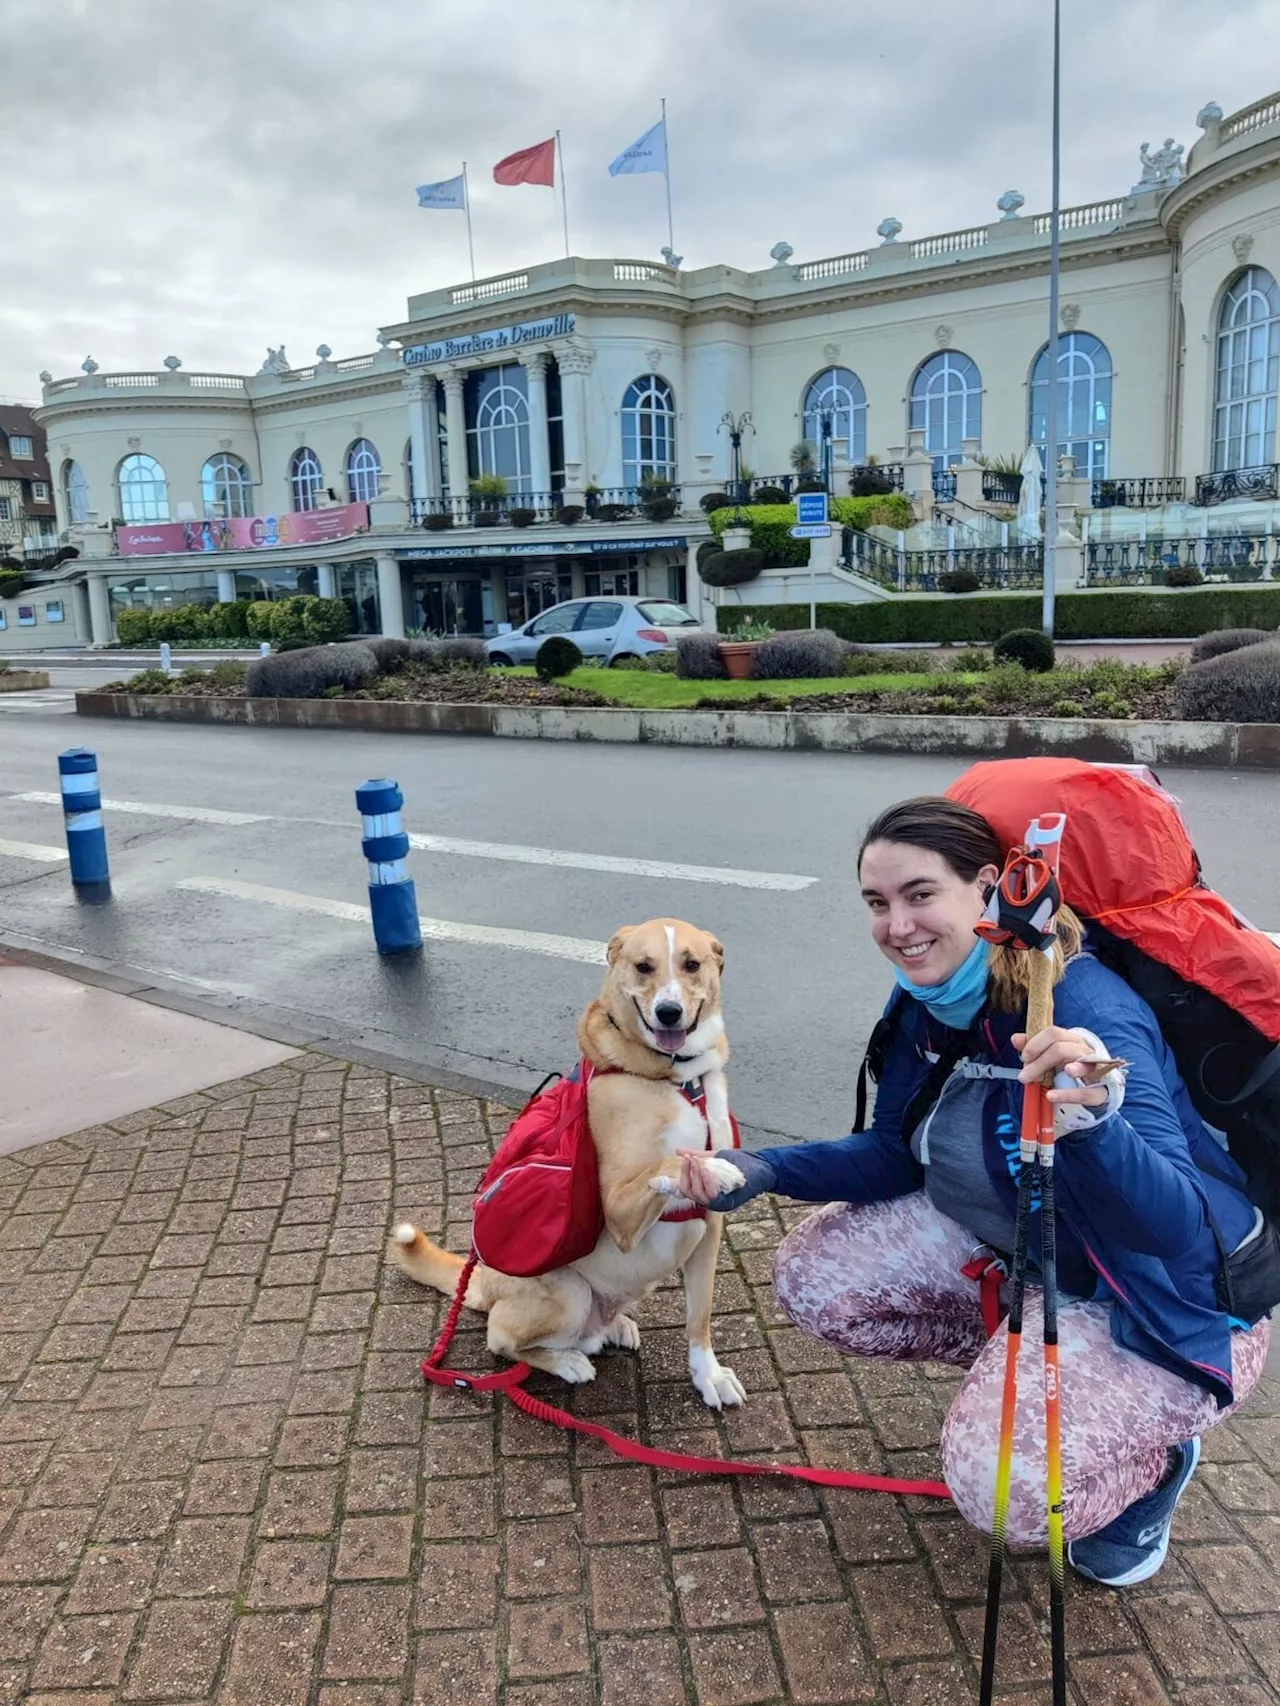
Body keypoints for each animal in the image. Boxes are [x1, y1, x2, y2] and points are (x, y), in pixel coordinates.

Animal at [390, 921, 750, 1412]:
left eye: (692, 964)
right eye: (644, 966)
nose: (669, 1012)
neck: (679, 1080)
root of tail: (483, 1282)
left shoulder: (708, 1232)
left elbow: (700, 1320)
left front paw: (708, 1375)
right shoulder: (618, 1210)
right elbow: (673, 1160)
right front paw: (713, 1169)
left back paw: (614, 1326)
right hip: (569, 1292)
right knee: (501, 1338)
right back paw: (565, 1362)